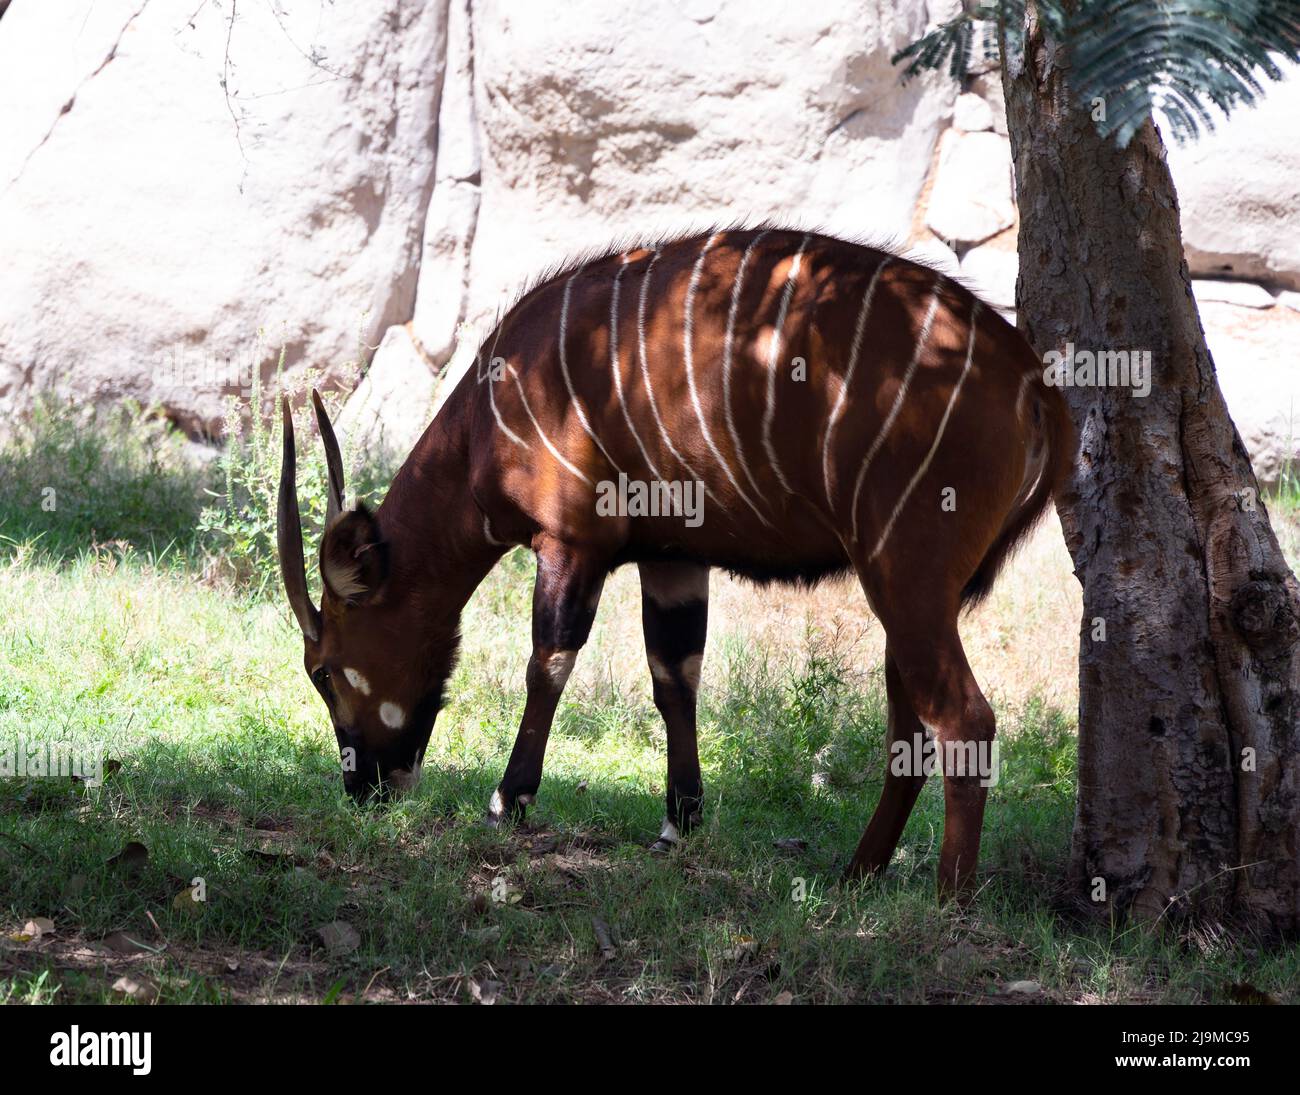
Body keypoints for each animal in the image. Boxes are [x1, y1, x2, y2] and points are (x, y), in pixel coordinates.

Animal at [277, 224, 1073, 899]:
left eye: (323, 670)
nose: (365, 788)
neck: (487, 413)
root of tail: (1034, 380)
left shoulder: (572, 542)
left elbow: (548, 662)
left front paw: (508, 799)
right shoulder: (673, 557)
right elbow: (675, 677)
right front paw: (678, 822)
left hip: (905, 579)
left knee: (964, 717)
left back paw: (949, 899)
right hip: (908, 597)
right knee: (910, 727)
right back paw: (857, 872)